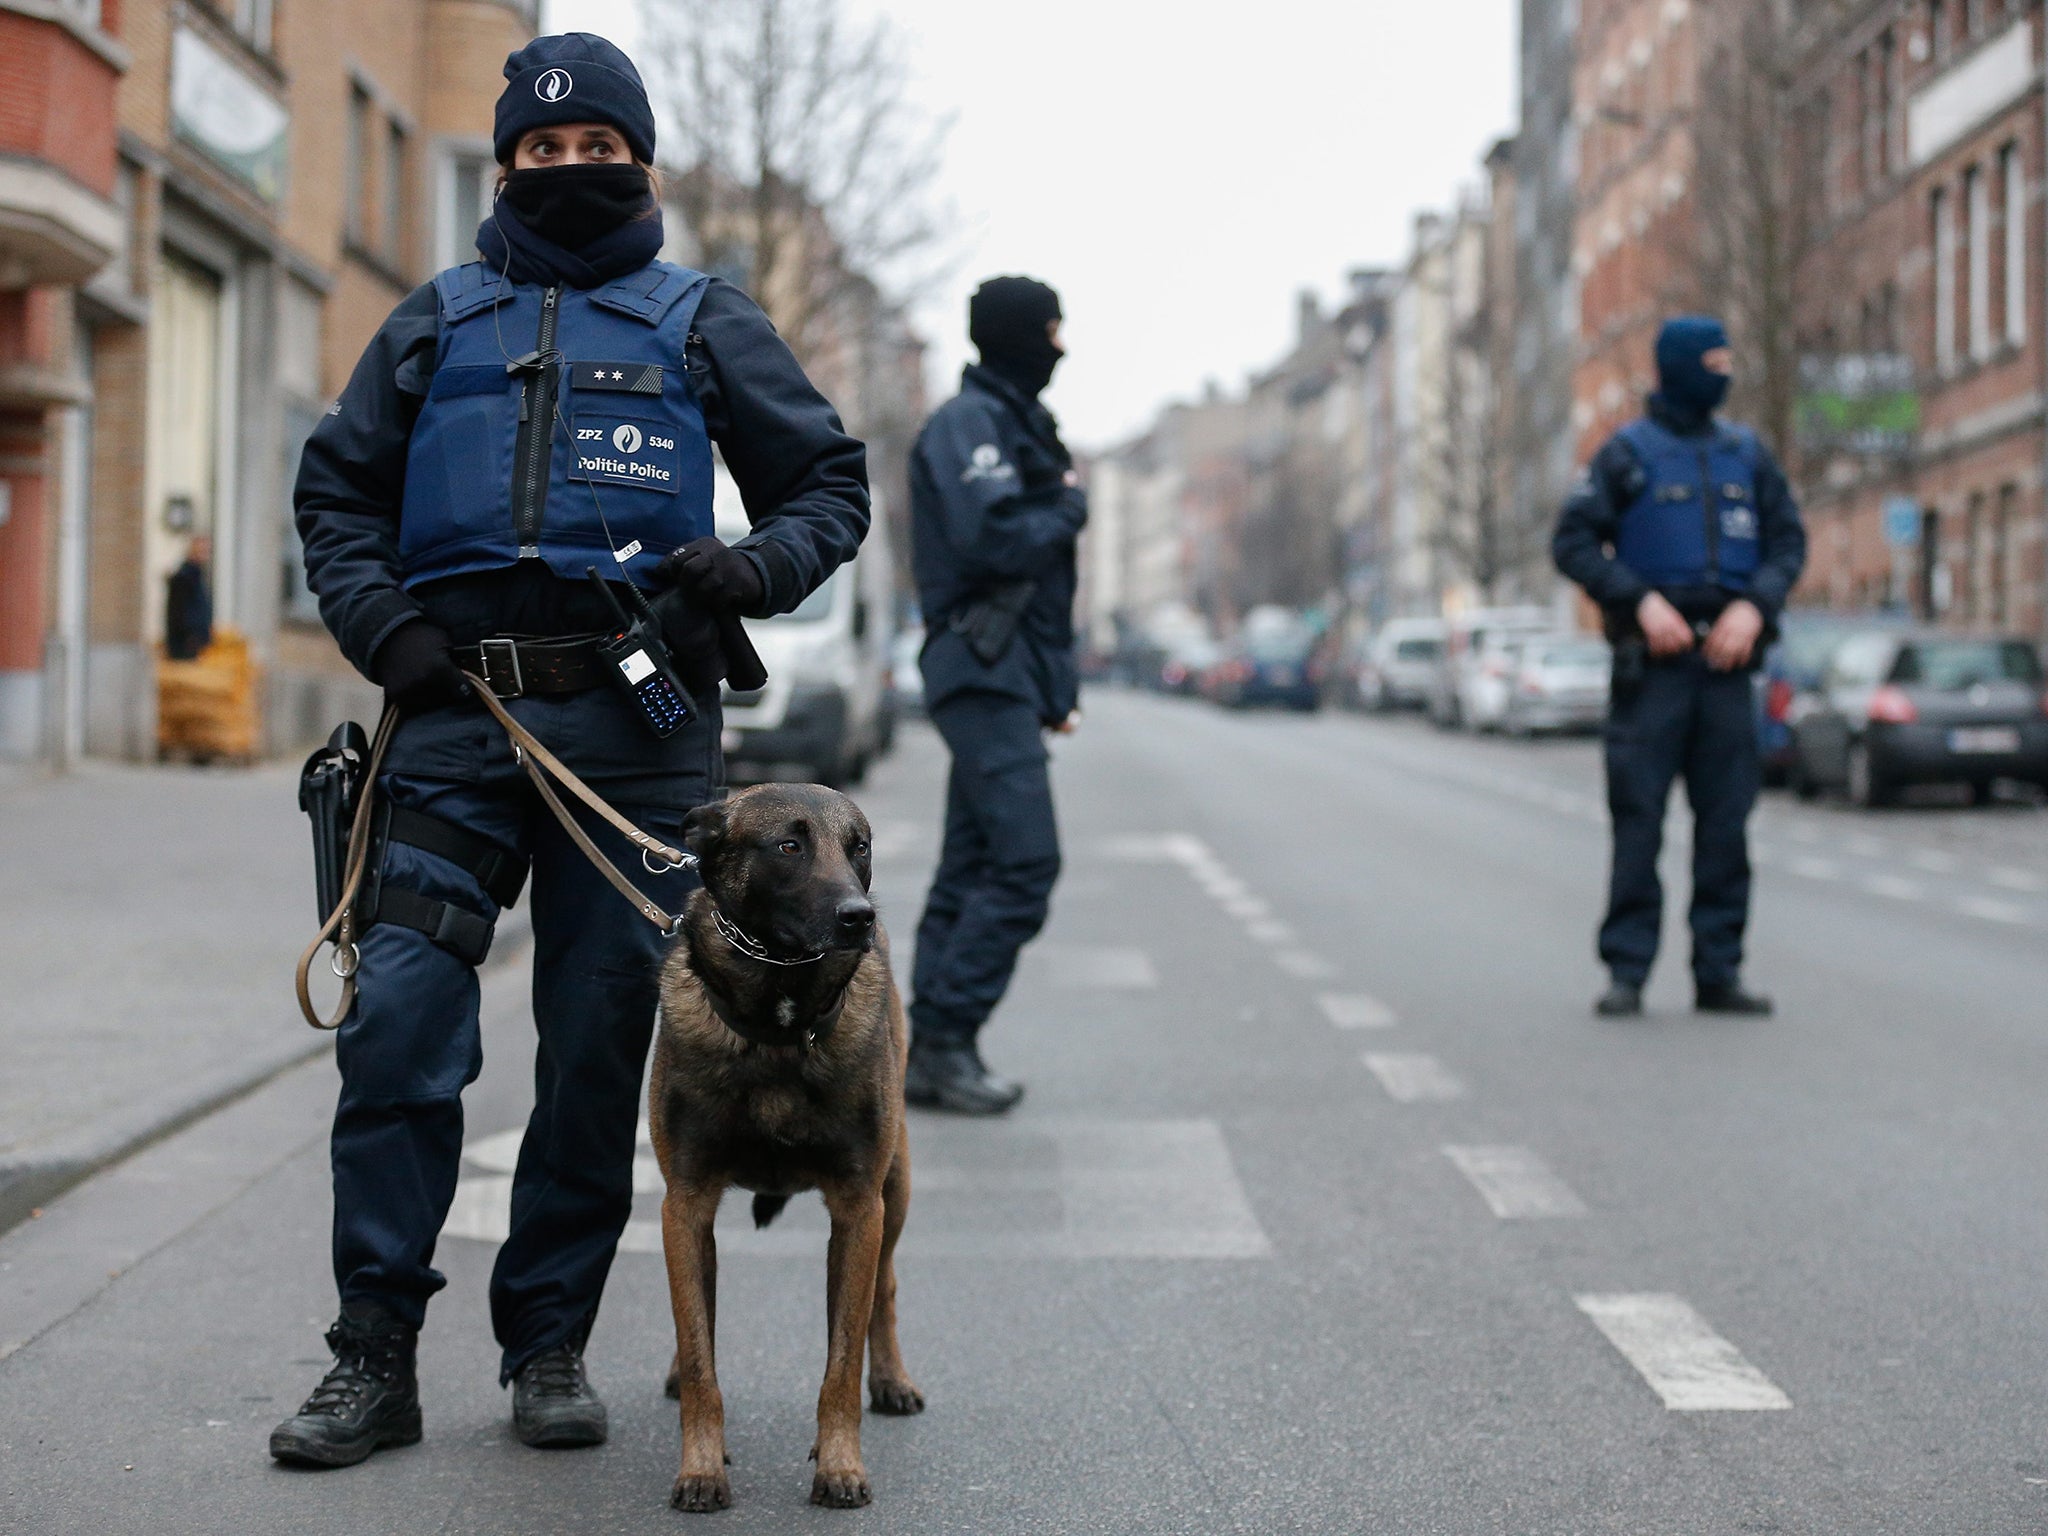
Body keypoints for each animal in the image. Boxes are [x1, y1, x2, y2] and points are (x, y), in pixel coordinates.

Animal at [651, 786, 925, 1507]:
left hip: (895, 1189)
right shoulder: (685, 1205)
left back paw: (891, 1379)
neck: (778, 1020)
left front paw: (840, 1464)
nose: (859, 918)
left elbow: (841, 1363)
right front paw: (701, 1466)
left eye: (860, 846)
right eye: (789, 845)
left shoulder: (858, 1210)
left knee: (886, 1288)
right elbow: (700, 1351)